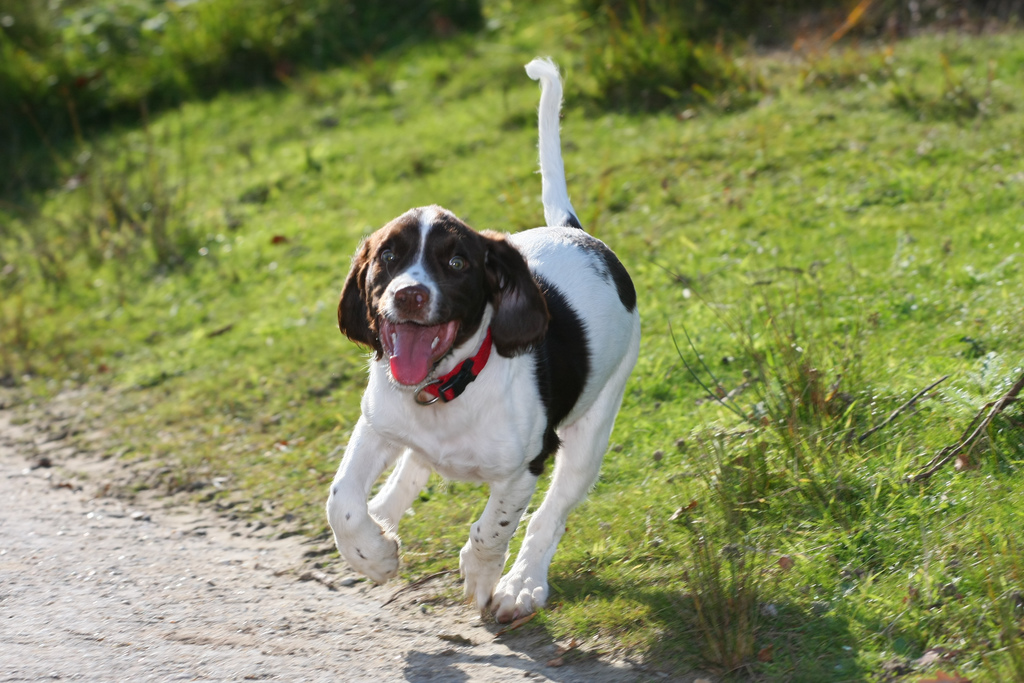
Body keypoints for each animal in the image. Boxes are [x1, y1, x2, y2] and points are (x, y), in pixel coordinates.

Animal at [325, 57, 638, 626]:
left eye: (456, 263)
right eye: (388, 257)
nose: (408, 295)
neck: (446, 389)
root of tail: (576, 232)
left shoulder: (527, 464)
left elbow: (496, 526)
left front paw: (482, 573)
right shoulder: (375, 421)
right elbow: (342, 502)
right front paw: (372, 553)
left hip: (594, 427)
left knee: (550, 514)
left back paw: (522, 583)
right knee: (411, 469)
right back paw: (384, 518)